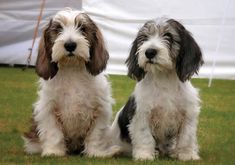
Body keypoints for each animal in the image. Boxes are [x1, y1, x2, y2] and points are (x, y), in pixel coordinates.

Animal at [23, 8, 118, 157]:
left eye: (82, 28)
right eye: (58, 29)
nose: (70, 45)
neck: (72, 69)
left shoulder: (100, 109)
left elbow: (96, 135)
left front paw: (95, 153)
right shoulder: (48, 108)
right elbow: (53, 133)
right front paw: (53, 152)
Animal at [110, 17, 204, 160]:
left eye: (168, 36)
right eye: (144, 37)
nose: (149, 52)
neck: (164, 78)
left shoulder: (188, 114)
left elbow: (186, 137)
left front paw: (187, 155)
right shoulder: (142, 114)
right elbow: (145, 136)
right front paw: (144, 155)